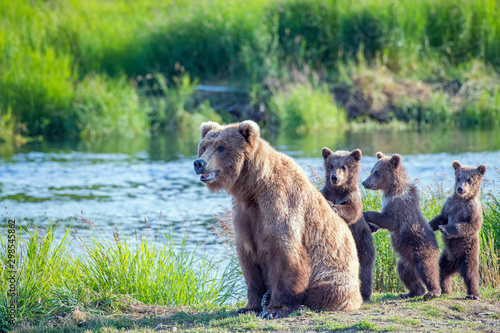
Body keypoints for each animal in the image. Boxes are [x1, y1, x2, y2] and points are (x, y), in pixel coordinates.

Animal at [193, 120, 362, 320]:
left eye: (221, 147)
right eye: (204, 146)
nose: (199, 163)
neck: (252, 188)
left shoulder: (280, 204)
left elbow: (285, 253)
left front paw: (274, 309)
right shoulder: (244, 215)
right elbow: (248, 260)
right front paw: (249, 306)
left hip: (334, 271)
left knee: (327, 289)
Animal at [320, 147, 376, 300]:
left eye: (344, 166)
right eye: (331, 165)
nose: (334, 177)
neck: (338, 191)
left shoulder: (352, 198)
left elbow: (351, 210)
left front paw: (333, 206)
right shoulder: (325, 192)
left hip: (362, 242)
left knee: (365, 267)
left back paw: (364, 293)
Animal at [362, 152, 440, 300]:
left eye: (377, 172)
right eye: (371, 170)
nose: (364, 182)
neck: (391, 189)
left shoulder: (399, 206)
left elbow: (388, 220)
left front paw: (365, 213)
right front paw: (371, 227)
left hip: (421, 248)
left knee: (427, 268)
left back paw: (433, 291)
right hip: (405, 260)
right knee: (406, 274)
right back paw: (411, 292)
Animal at [428, 160, 486, 298]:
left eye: (469, 179)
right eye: (458, 177)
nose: (460, 188)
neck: (461, 200)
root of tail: (456, 264)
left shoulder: (473, 209)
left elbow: (469, 225)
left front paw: (444, 228)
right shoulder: (449, 205)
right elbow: (441, 217)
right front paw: (430, 225)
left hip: (468, 252)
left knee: (471, 273)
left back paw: (473, 294)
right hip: (446, 257)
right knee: (442, 271)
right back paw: (445, 290)